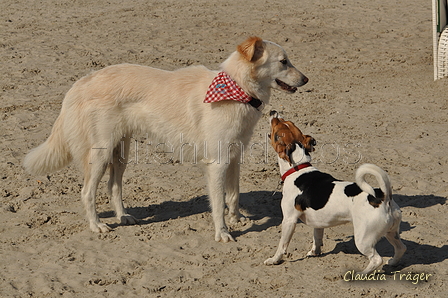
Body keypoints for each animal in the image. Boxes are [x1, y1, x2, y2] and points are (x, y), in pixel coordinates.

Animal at [22, 37, 310, 242]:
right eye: (284, 61)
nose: (306, 79)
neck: (237, 88)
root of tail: (80, 83)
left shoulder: (234, 157)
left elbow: (234, 194)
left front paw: (237, 219)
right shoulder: (217, 163)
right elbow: (218, 203)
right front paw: (223, 233)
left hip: (121, 152)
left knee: (113, 187)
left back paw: (123, 217)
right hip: (100, 154)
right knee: (87, 193)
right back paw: (97, 226)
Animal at [264, 111, 408, 272]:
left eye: (277, 129)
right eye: (287, 122)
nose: (273, 112)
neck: (298, 168)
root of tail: (382, 196)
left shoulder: (289, 220)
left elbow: (282, 246)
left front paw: (274, 260)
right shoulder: (318, 222)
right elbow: (317, 238)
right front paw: (314, 252)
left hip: (363, 240)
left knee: (377, 259)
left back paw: (362, 273)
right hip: (391, 232)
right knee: (401, 248)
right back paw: (393, 263)